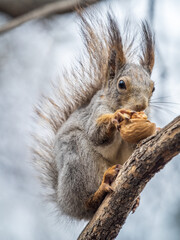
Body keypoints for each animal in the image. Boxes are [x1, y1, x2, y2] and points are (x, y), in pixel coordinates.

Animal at [32, 11, 155, 221]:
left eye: (153, 88)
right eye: (121, 84)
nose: (141, 106)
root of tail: (64, 202)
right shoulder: (96, 110)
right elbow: (95, 133)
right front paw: (117, 116)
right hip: (78, 161)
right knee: (87, 201)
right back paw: (101, 189)